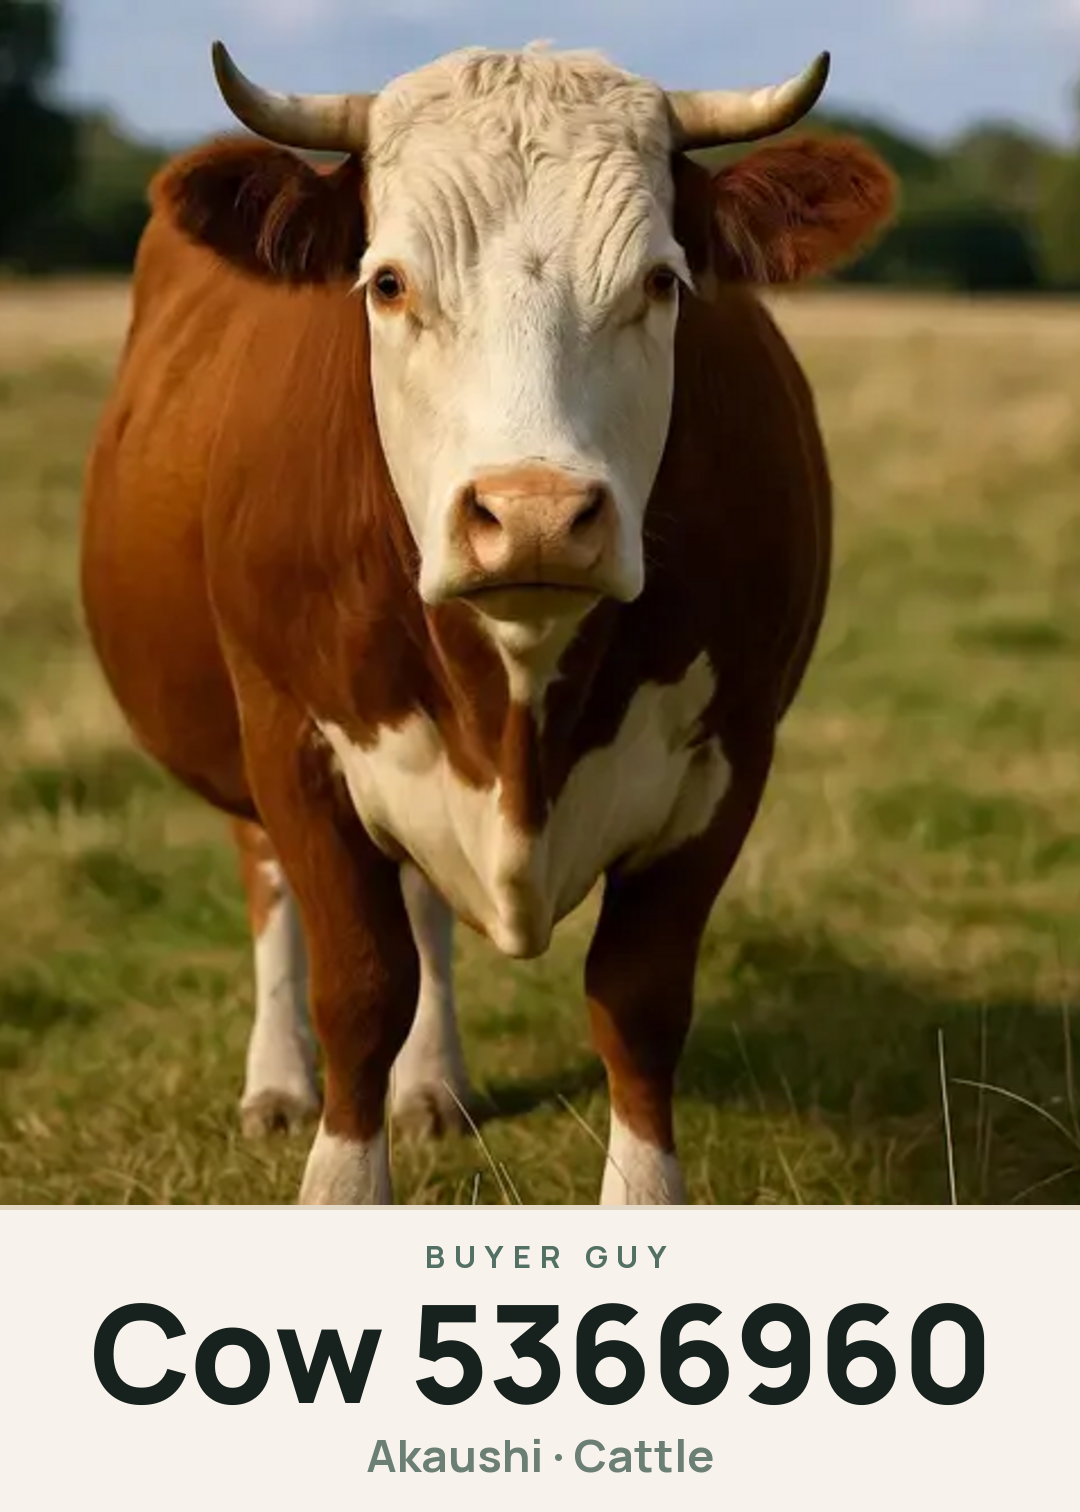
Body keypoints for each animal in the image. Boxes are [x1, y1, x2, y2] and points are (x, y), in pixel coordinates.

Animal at [80, 40, 895, 1205]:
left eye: (660, 281)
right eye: (388, 282)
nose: (535, 516)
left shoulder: (731, 757)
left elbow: (639, 1002)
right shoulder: (290, 736)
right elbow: (359, 988)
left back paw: (433, 1086)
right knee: (270, 883)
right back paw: (276, 1082)